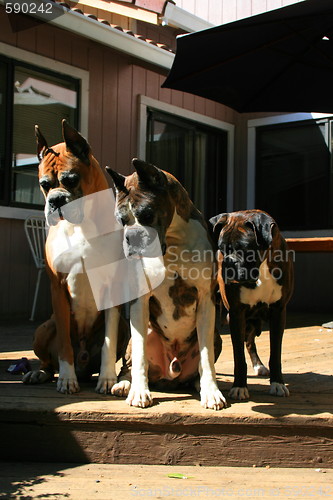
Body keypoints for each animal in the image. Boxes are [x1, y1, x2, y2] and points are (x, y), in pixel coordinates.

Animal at [106, 159, 226, 410]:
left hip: (217, 336)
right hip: (138, 337)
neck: (172, 240)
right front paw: (139, 392)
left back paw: (199, 384)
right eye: (121, 220)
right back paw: (125, 384)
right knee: (129, 364)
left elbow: (206, 357)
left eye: (147, 214)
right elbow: (140, 355)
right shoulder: (139, 301)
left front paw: (211, 391)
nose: (131, 237)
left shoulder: (206, 299)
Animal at [209, 209, 292, 400]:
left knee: (250, 342)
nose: (228, 262)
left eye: (244, 249)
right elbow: (238, 356)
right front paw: (239, 387)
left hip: (253, 321)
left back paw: (259, 366)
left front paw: (277, 383)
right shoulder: (236, 314)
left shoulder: (279, 311)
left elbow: (275, 353)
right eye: (221, 249)